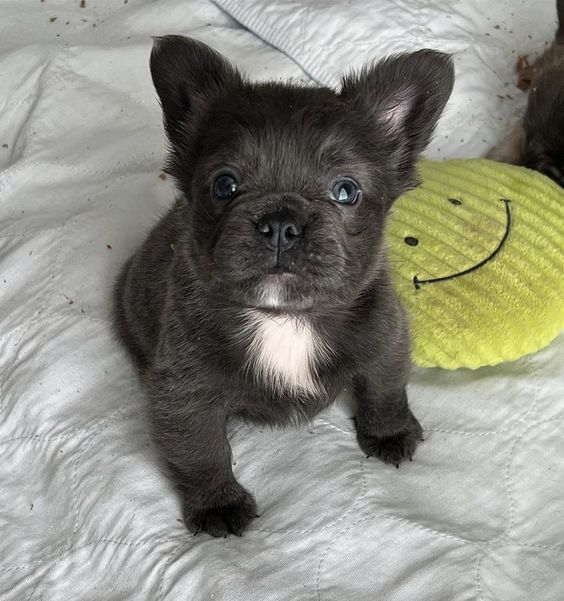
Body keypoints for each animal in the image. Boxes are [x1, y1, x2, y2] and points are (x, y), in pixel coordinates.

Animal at [114, 35, 454, 536]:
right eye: (224, 185)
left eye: (346, 192)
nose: (280, 222)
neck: (284, 318)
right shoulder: (183, 395)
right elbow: (200, 451)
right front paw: (217, 504)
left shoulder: (386, 339)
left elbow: (384, 389)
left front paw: (389, 432)